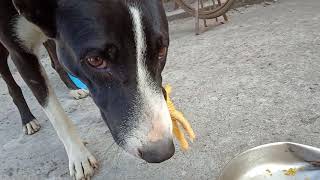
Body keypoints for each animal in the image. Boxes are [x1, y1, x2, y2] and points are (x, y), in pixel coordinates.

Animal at [0, 0, 175, 179]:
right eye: (95, 60)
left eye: (161, 50)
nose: (161, 152)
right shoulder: (20, 54)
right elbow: (56, 114)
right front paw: (79, 156)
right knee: (12, 86)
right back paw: (27, 119)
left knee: (56, 62)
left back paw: (73, 88)